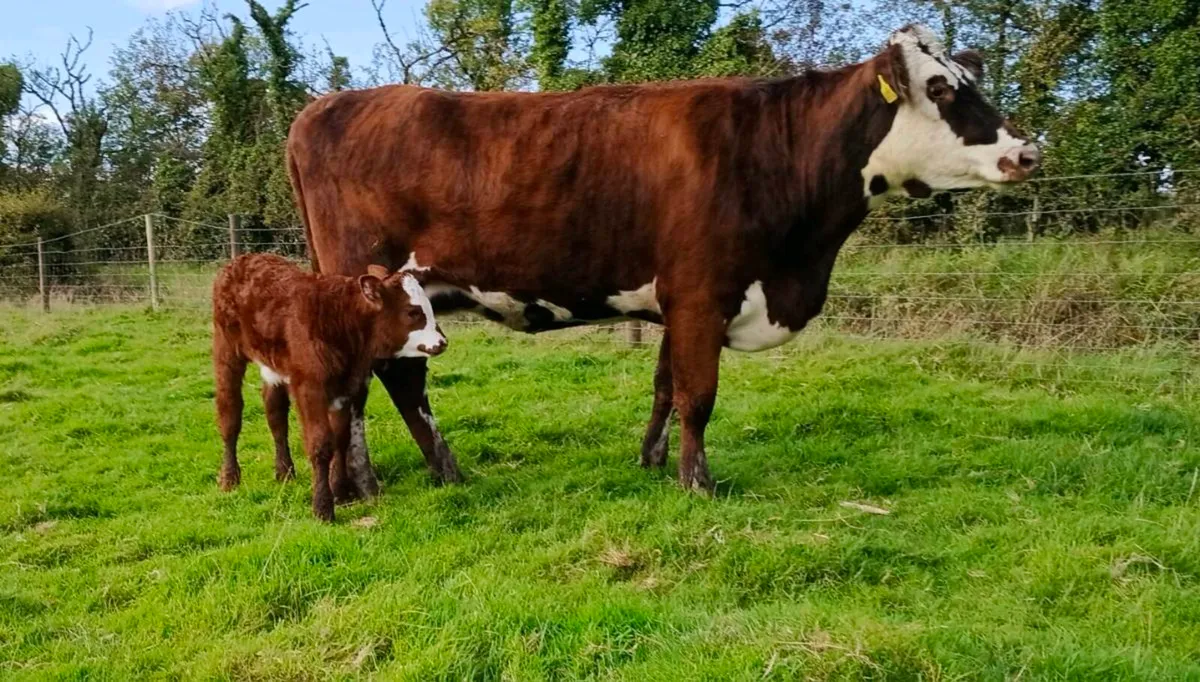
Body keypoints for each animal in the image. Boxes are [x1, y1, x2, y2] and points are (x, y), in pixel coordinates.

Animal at [211, 254, 446, 521]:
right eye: (412, 312)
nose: (442, 342)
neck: (342, 322)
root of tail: (243, 259)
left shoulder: (346, 387)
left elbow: (341, 439)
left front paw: (339, 492)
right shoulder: (310, 386)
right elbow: (321, 443)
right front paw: (322, 507)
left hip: (272, 366)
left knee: (275, 414)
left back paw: (284, 471)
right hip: (226, 349)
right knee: (230, 413)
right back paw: (229, 478)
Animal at [285, 24, 1039, 495]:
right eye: (941, 89)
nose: (1026, 151)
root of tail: (323, 107)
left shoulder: (678, 299)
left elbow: (664, 386)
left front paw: (651, 462)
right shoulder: (703, 293)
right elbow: (697, 395)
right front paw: (696, 482)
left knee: (402, 383)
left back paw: (446, 473)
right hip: (368, 286)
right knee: (367, 383)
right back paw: (365, 486)